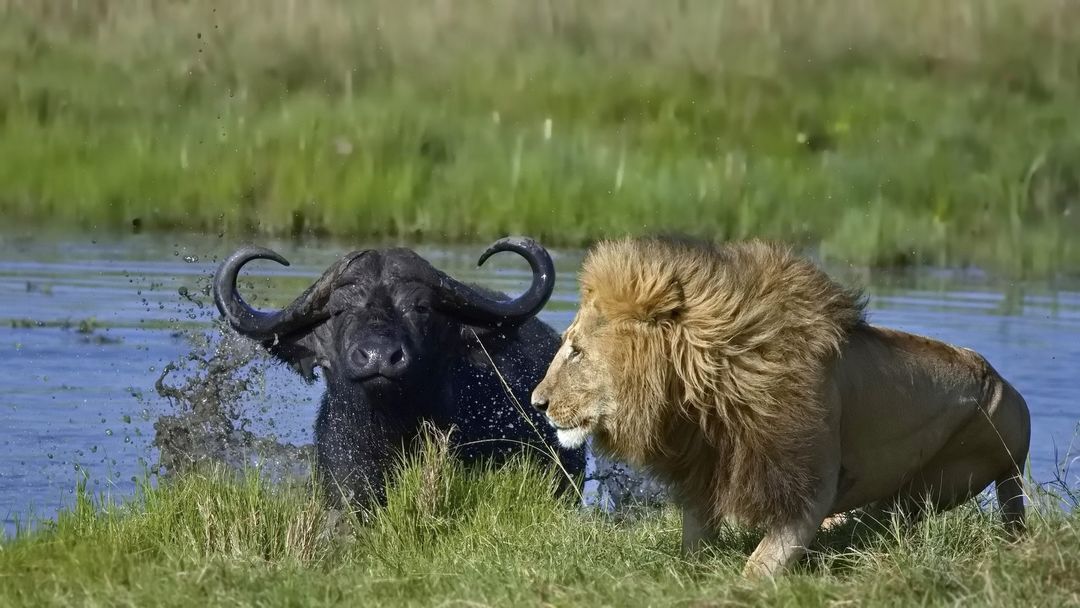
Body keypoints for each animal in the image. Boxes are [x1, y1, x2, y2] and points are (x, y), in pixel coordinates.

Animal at [529, 235, 1028, 578]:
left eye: (576, 351)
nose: (538, 402)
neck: (703, 388)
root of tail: (1014, 399)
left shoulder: (808, 480)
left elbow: (763, 562)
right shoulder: (704, 465)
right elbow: (696, 537)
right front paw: (688, 573)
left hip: (944, 478)